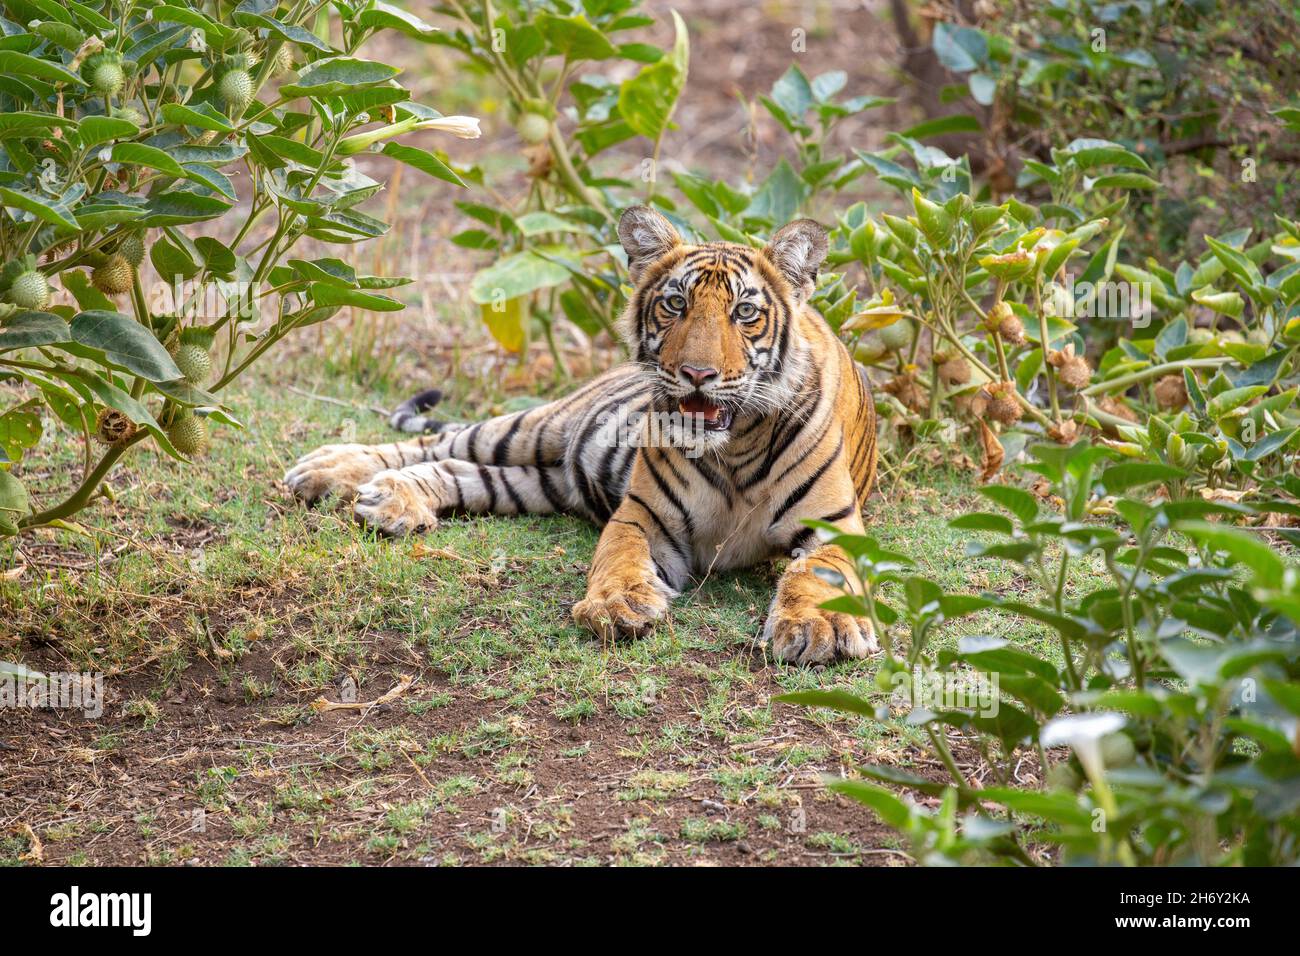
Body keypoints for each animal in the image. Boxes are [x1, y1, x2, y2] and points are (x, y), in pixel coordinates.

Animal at [279, 204, 878, 660]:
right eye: (676, 304)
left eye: (746, 312)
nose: (697, 374)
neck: (735, 448)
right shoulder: (643, 515)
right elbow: (619, 556)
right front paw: (617, 604)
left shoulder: (834, 529)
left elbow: (819, 575)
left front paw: (819, 628)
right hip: (538, 427)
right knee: (434, 442)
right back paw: (329, 472)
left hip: (537, 482)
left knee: (455, 467)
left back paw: (391, 501)